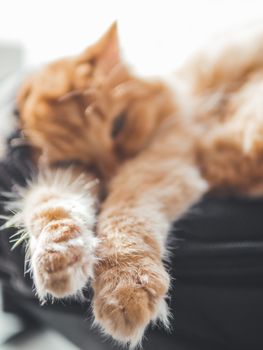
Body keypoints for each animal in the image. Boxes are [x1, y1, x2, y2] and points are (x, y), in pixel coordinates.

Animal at [6, 24, 263, 348]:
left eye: (118, 125)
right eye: (77, 160)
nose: (112, 173)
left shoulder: (163, 158)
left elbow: (124, 215)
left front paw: (124, 288)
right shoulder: (63, 178)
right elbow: (50, 209)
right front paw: (59, 256)